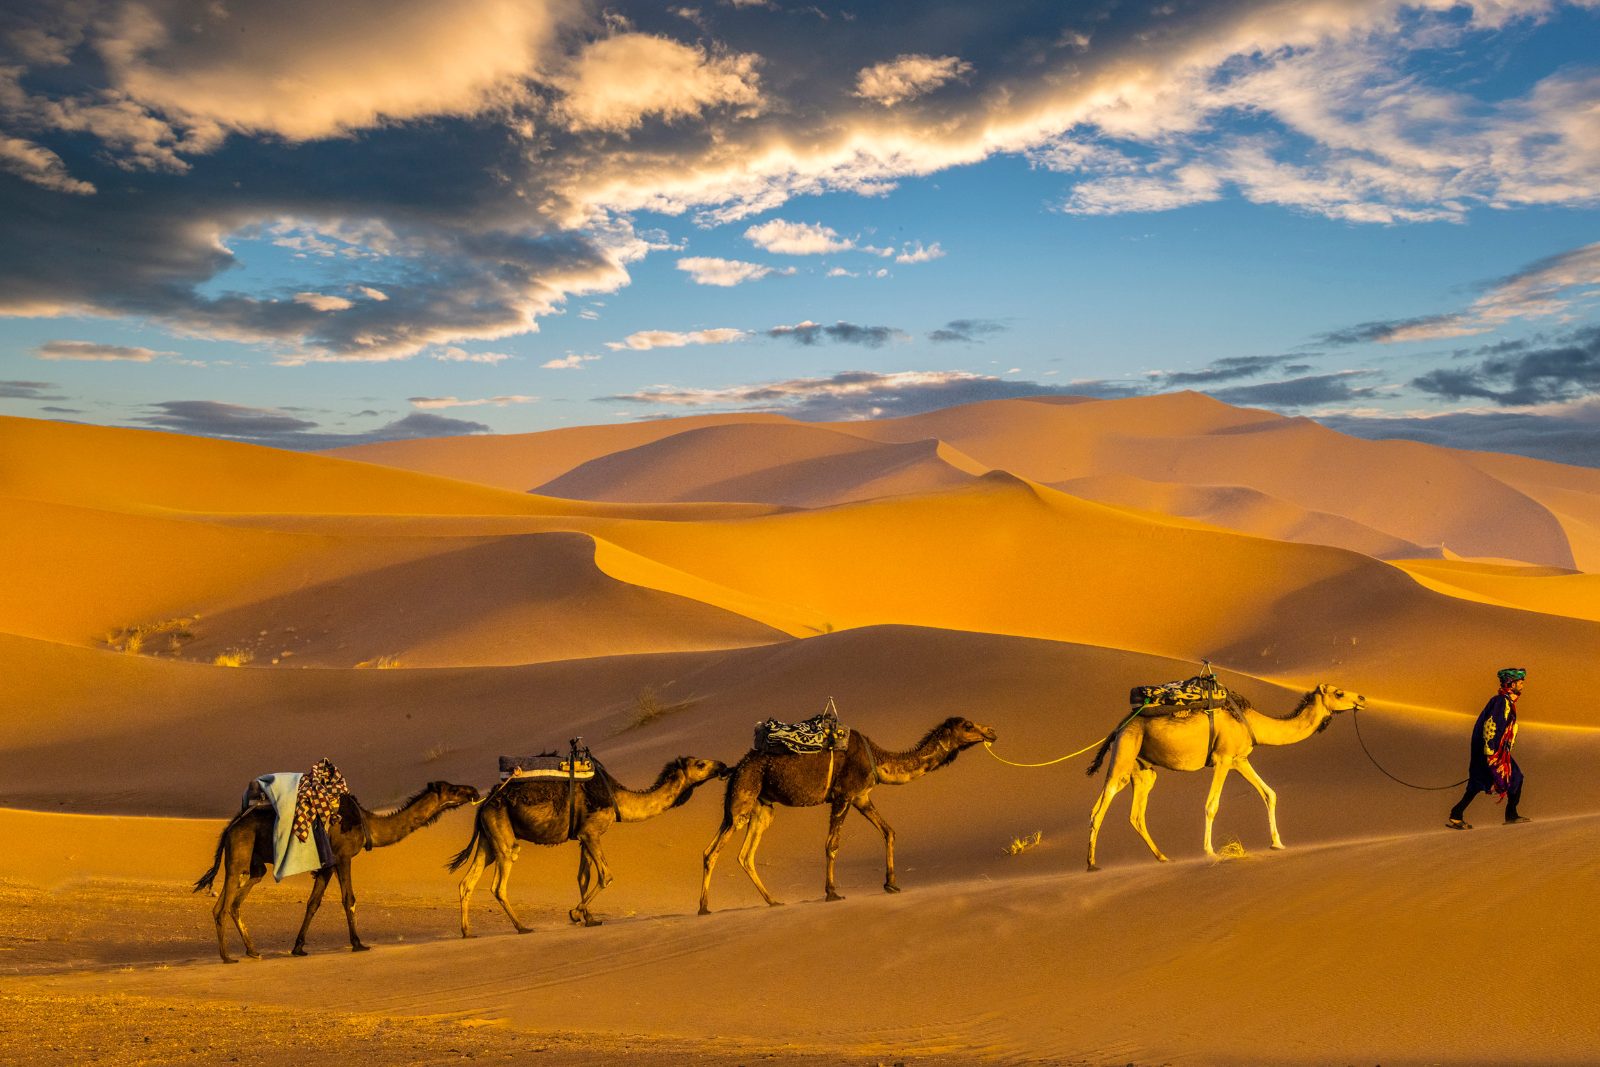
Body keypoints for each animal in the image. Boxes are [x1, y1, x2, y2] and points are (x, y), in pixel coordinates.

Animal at [194, 779, 479, 963]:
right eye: (453, 789)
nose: (473, 791)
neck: (367, 824)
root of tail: (230, 827)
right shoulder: (342, 857)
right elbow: (348, 898)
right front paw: (358, 943)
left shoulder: (326, 865)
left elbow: (313, 903)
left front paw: (298, 947)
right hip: (238, 856)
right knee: (222, 905)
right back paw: (227, 957)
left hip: (254, 865)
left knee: (236, 901)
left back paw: (252, 951)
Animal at [448, 755, 727, 936]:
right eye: (700, 764)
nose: (723, 766)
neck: (619, 800)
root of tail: (485, 803)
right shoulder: (592, 832)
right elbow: (606, 875)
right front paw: (575, 913)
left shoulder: (583, 837)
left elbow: (583, 876)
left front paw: (589, 918)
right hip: (503, 836)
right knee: (498, 884)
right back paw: (522, 927)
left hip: (488, 839)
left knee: (467, 882)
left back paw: (467, 931)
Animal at [698, 715, 997, 915]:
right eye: (968, 726)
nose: (991, 731)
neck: (878, 759)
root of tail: (737, 768)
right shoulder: (843, 796)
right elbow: (832, 845)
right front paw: (832, 892)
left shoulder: (861, 797)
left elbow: (889, 831)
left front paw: (892, 884)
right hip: (743, 796)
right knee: (713, 851)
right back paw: (703, 908)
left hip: (763, 806)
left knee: (744, 855)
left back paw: (773, 901)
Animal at [1084, 683, 1365, 871]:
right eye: (1339, 693)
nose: (1361, 697)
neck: (1252, 722)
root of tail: (1119, 726)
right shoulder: (1223, 758)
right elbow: (1212, 805)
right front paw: (1209, 851)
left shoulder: (1239, 759)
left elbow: (1269, 794)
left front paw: (1277, 843)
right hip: (1124, 753)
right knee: (1100, 807)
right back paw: (1091, 863)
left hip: (1143, 769)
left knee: (1136, 814)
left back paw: (1162, 857)